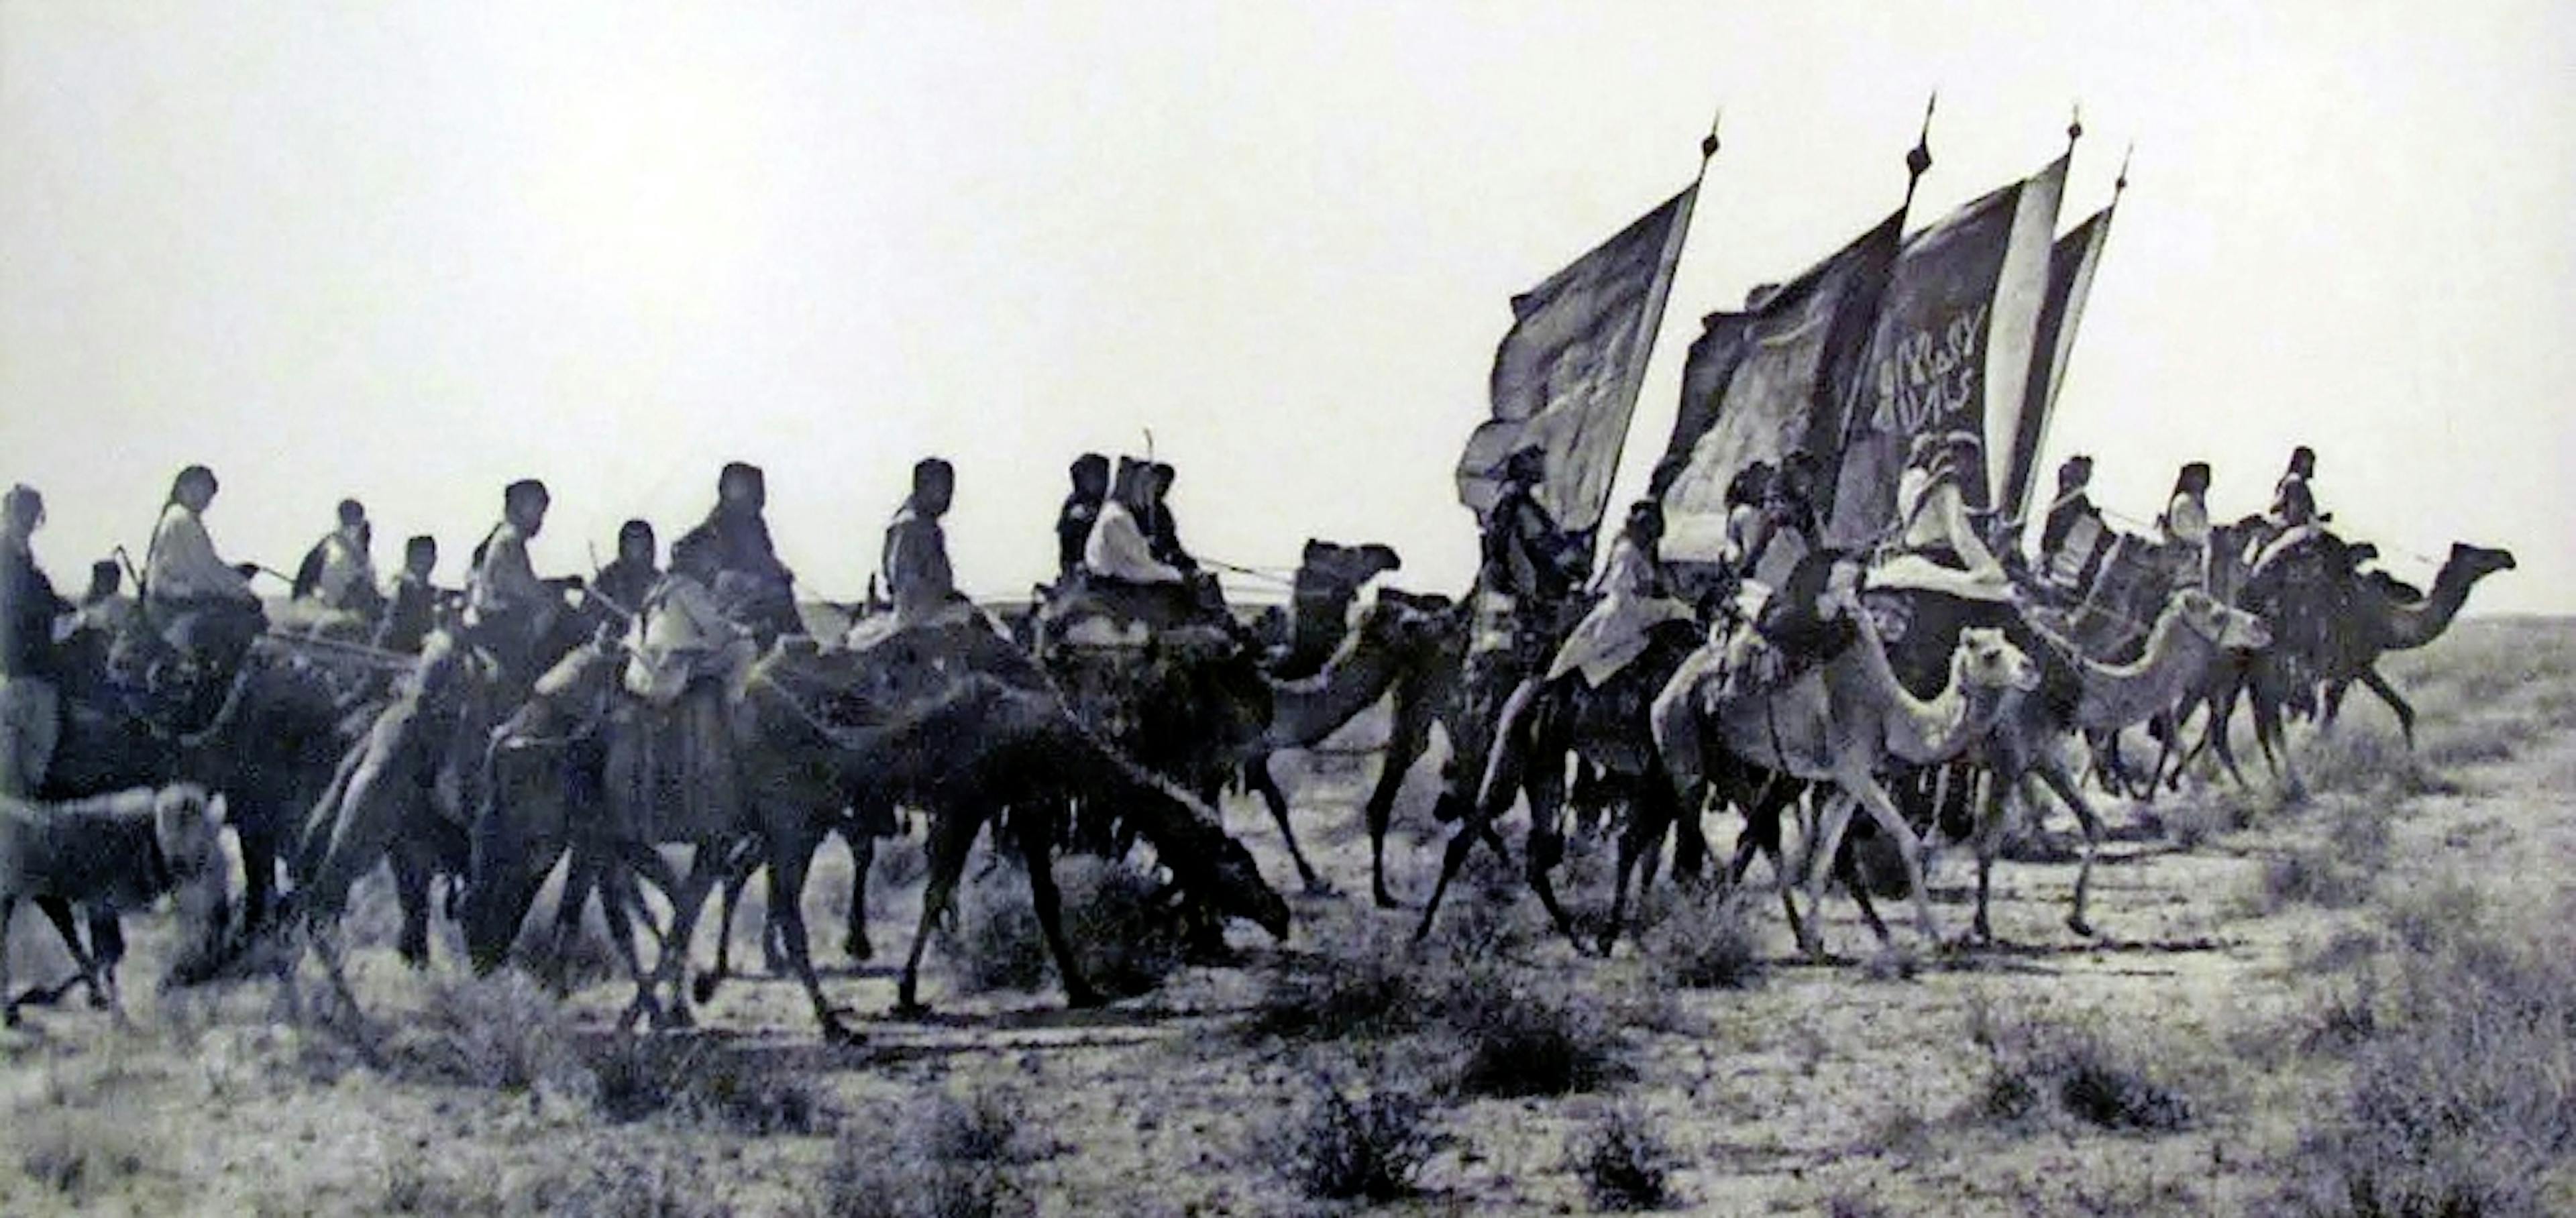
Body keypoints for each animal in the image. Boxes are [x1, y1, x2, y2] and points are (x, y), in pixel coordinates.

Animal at [1648, 590, 2029, 958]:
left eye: (2011, 643)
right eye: (1991, 654)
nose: (2030, 668)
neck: (1887, 713)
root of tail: (1665, 693)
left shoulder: (1845, 784)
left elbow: (1823, 857)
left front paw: (1816, 939)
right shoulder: (1854, 771)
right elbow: (1909, 843)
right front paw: (1936, 938)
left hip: (1728, 764)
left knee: (1752, 837)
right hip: (1681, 742)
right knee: (1687, 855)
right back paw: (1693, 941)